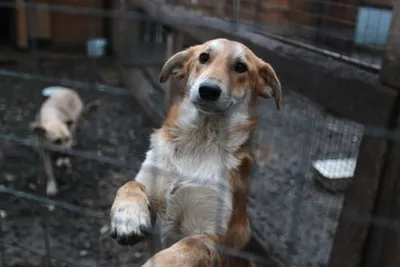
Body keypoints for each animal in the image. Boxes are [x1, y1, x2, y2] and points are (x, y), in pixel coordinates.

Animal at [109, 38, 282, 266]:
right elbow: (131, 184)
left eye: (240, 67)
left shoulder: (210, 239)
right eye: (203, 57)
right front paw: (127, 216)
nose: (208, 90)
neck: (199, 141)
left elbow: (182, 248)